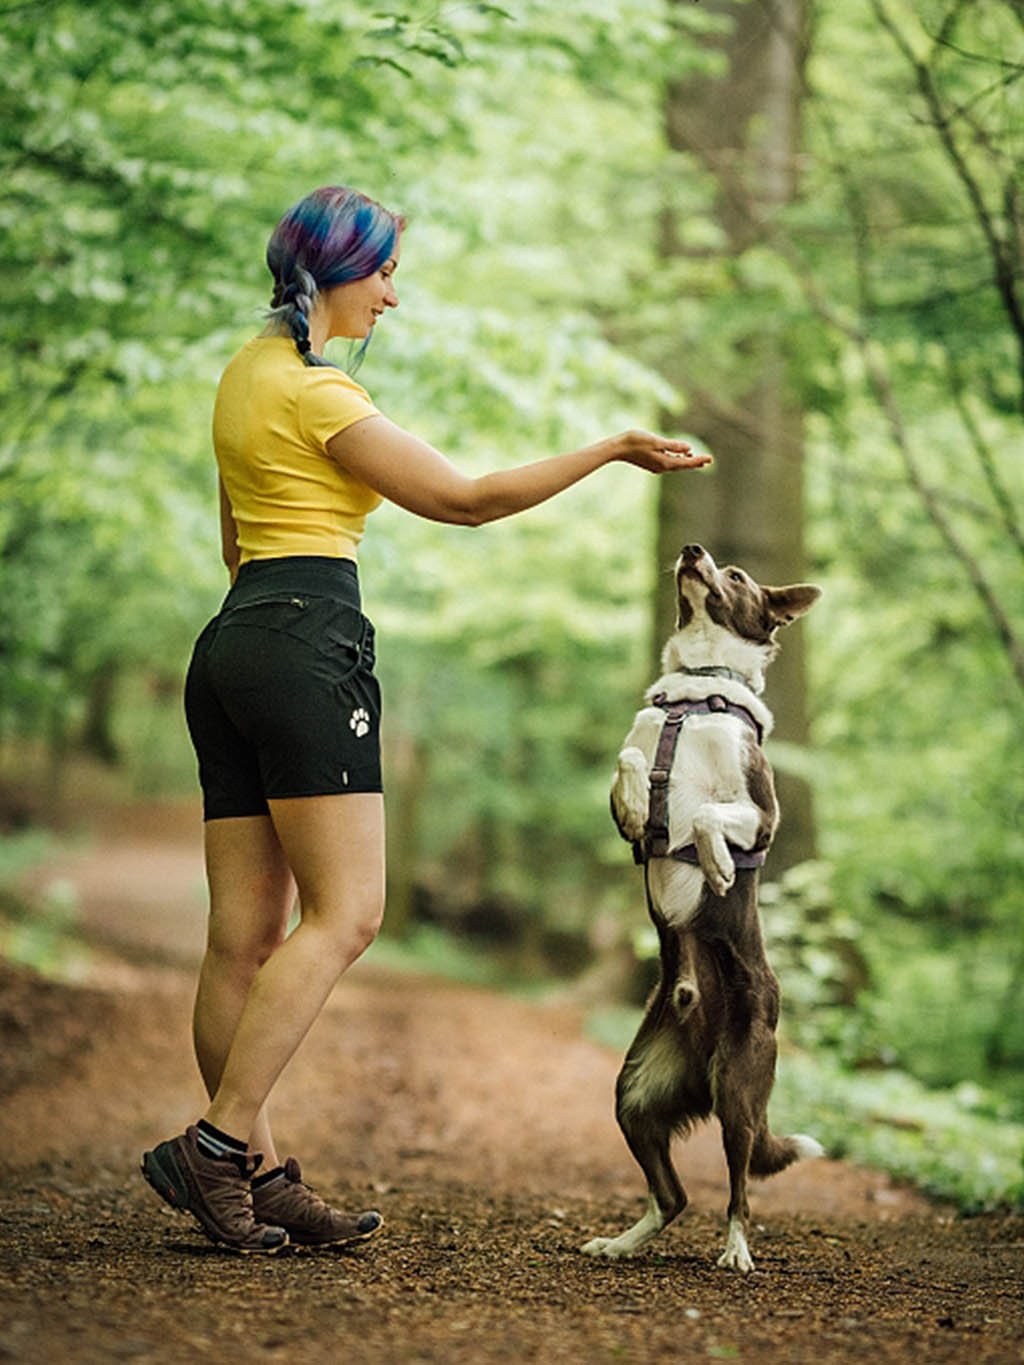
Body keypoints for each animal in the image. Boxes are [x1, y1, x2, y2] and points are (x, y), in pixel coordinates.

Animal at [584, 540, 824, 1266]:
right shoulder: (637, 750)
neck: (697, 692)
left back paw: (736, 1250)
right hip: (634, 1094)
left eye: (738, 576)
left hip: (741, 1093)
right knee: (673, 1196)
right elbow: (631, 760)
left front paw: (717, 862)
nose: (692, 549)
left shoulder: (764, 814)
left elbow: (711, 815)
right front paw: (641, 805)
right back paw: (621, 1242)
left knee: (739, 1188)